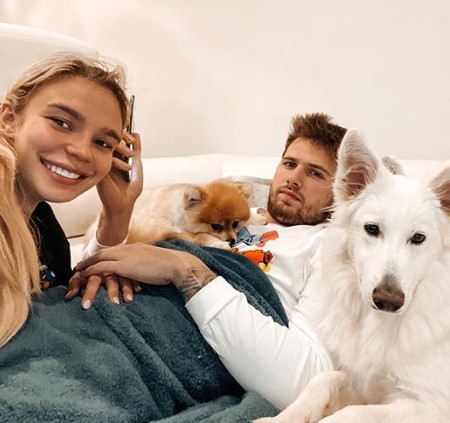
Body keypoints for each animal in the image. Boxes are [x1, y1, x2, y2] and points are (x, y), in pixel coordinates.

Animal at [256, 129, 450, 423]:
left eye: (418, 238)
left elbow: (349, 414)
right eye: (372, 229)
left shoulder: (427, 406)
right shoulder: (361, 380)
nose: (388, 301)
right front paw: (279, 419)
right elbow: (322, 380)